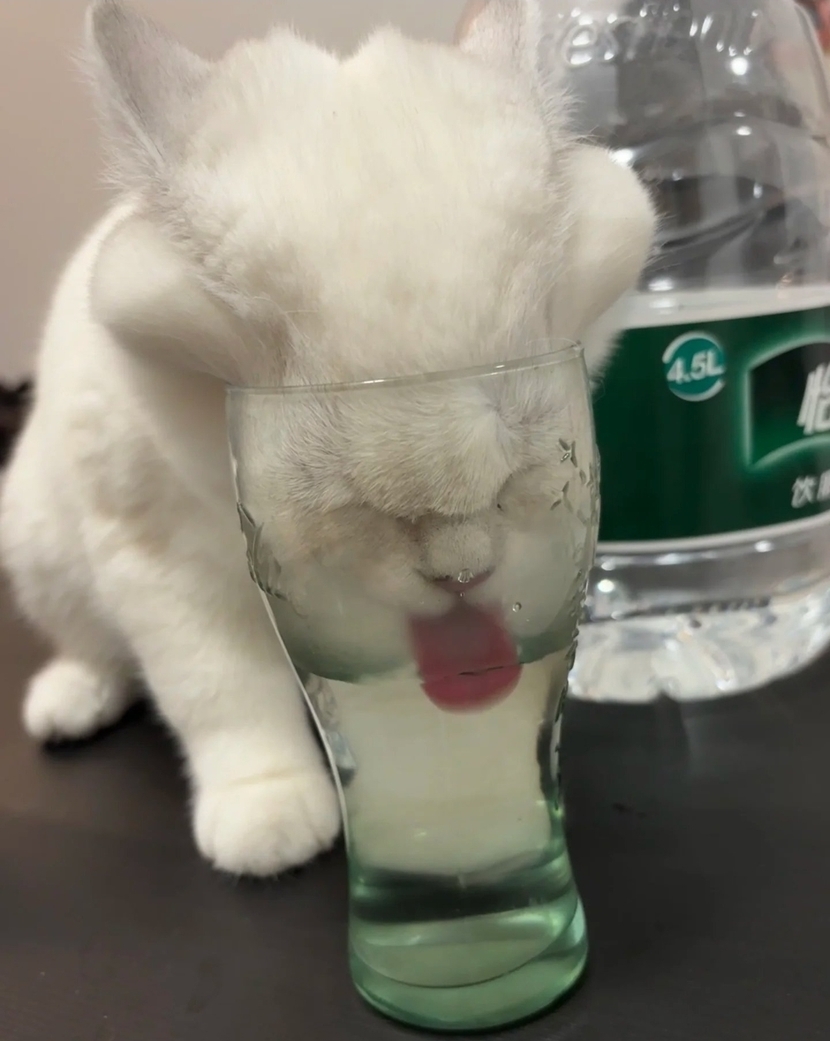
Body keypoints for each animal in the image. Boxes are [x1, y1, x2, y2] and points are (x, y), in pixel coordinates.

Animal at [0, 0, 655, 877]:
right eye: (354, 510)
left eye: (515, 474)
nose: (460, 572)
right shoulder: (159, 557)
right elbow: (224, 693)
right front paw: (268, 814)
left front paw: (488, 817)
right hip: (40, 547)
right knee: (92, 647)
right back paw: (70, 703)